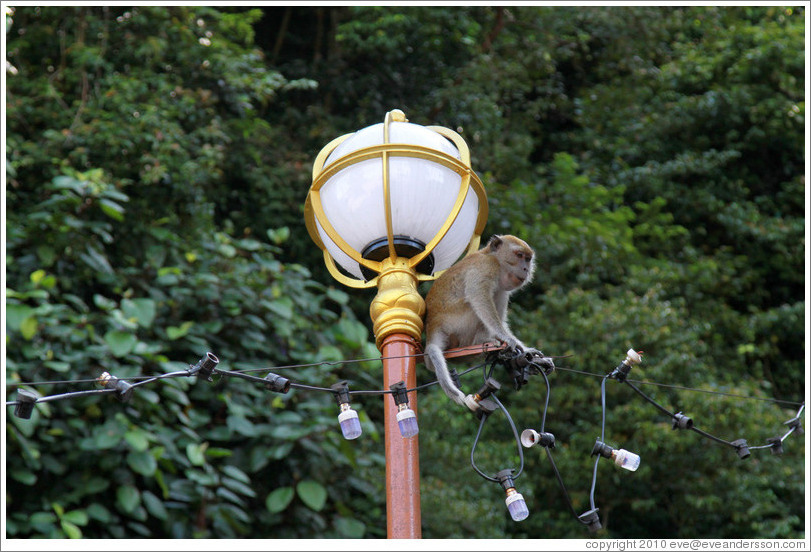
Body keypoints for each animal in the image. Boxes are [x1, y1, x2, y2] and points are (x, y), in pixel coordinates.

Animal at [426, 233, 552, 410]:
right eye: (519, 255)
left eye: (528, 259)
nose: (526, 269)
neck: (494, 258)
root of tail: (433, 326)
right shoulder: (485, 267)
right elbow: (479, 296)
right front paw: (508, 339)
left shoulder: (502, 285)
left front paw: (527, 351)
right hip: (456, 324)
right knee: (474, 302)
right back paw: (482, 341)